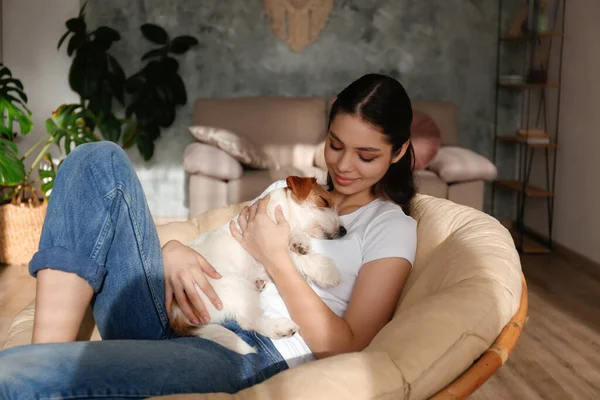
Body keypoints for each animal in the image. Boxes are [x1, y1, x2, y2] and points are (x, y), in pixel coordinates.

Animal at [169, 175, 346, 354]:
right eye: (324, 201)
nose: (344, 231)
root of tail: (177, 314)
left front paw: (299, 242)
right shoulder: (265, 247)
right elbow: (292, 256)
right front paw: (327, 271)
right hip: (235, 285)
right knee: (247, 321)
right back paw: (280, 327)